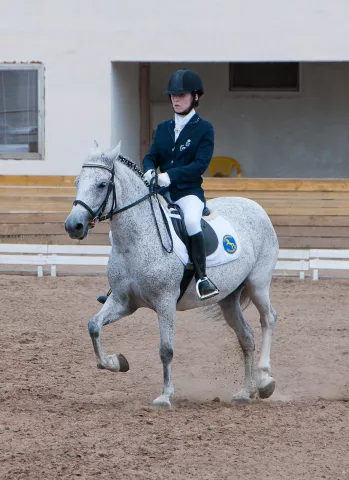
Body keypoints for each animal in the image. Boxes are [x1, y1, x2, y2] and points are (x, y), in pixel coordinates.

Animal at [64, 142, 278, 408]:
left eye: (102, 184)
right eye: (77, 181)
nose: (73, 226)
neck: (134, 242)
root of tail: (254, 205)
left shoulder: (165, 302)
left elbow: (166, 349)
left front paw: (165, 395)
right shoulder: (123, 302)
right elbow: (93, 326)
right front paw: (117, 362)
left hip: (258, 283)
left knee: (268, 319)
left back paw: (265, 380)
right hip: (228, 299)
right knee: (246, 336)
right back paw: (246, 391)